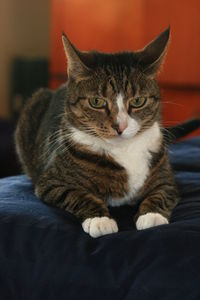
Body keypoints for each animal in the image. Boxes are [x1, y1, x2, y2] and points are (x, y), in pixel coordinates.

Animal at [15, 28, 195, 238]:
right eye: (96, 102)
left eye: (138, 101)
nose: (120, 126)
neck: (124, 151)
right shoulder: (51, 181)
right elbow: (78, 195)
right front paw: (100, 220)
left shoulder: (166, 178)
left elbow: (162, 192)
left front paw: (152, 216)